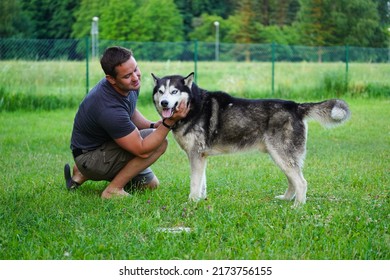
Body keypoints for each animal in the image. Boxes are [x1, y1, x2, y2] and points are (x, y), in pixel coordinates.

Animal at [150, 73, 350, 207]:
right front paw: (201, 199)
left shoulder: (195, 155)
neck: (193, 106)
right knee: (293, 181)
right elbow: (201, 183)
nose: (164, 103)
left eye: (174, 91)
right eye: (160, 91)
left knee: (301, 182)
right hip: (280, 157)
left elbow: (194, 183)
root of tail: (295, 106)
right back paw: (286, 199)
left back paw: (297, 207)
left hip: (282, 155)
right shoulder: (201, 156)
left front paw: (191, 202)